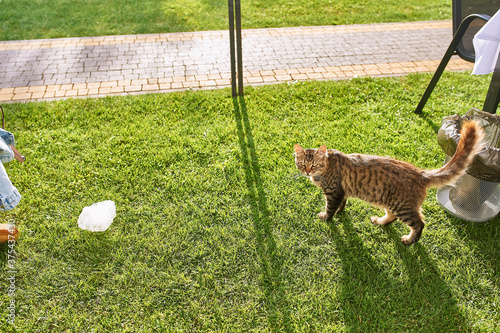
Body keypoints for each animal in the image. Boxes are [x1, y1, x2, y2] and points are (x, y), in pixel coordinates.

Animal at [292, 120, 484, 244]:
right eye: (302, 164)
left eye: (314, 165)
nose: (307, 171)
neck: (327, 166)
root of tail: (419, 173)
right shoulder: (342, 192)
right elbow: (342, 204)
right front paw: (340, 212)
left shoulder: (333, 192)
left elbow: (330, 208)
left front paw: (326, 217)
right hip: (390, 202)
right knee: (391, 217)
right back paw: (380, 221)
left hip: (402, 206)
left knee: (419, 223)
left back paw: (410, 240)